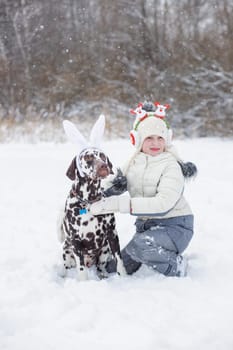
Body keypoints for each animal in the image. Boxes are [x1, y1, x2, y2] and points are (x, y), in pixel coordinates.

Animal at [59, 146, 126, 280]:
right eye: (88, 157)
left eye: (102, 156)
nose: (103, 165)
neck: (88, 201)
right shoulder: (75, 240)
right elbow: (81, 269)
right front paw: (84, 282)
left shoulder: (112, 234)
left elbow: (119, 259)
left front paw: (124, 277)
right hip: (66, 250)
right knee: (67, 266)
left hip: (105, 250)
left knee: (100, 267)